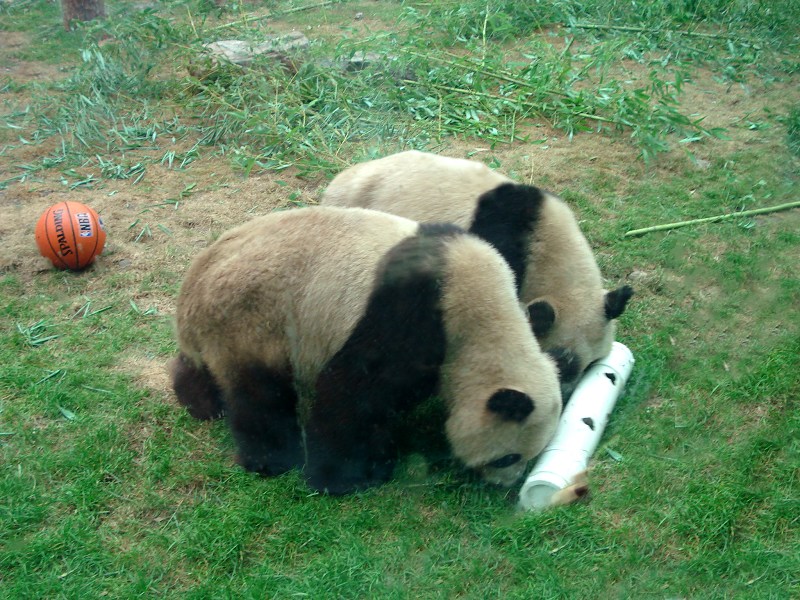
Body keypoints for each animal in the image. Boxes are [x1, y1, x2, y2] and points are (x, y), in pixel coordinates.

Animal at [172, 206, 560, 496]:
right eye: (507, 457)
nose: (506, 484)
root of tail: (192, 288)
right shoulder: (412, 309)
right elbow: (357, 389)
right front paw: (346, 476)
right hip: (251, 317)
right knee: (259, 393)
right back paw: (271, 459)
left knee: (206, 367)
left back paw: (200, 400)